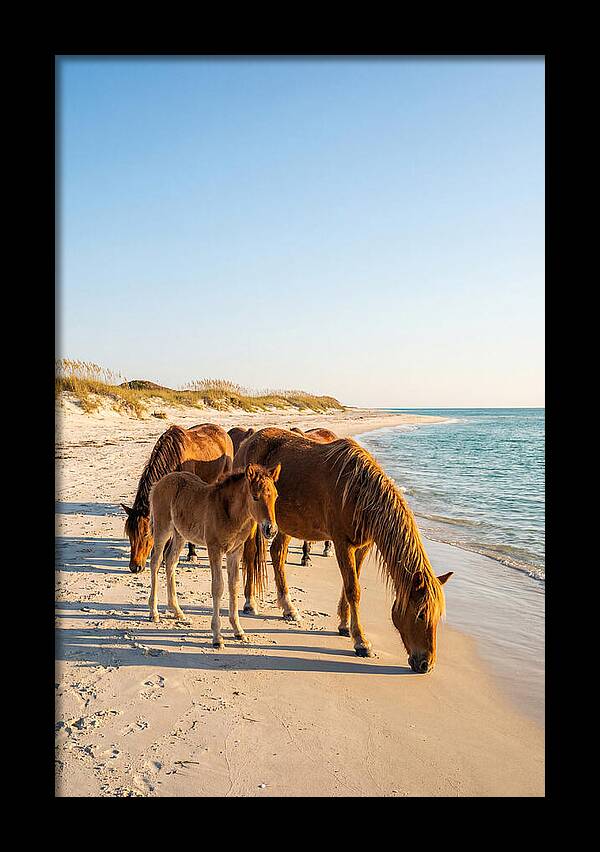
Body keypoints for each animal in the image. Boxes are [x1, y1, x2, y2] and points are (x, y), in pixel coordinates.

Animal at [121, 423, 234, 572]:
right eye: (129, 534)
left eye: (145, 534)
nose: (135, 567)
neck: (174, 458)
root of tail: (223, 432)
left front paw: (192, 554)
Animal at [148, 462, 280, 646]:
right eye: (255, 497)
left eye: (275, 496)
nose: (271, 530)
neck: (230, 513)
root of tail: (159, 482)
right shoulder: (214, 549)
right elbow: (218, 587)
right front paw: (217, 636)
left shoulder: (235, 551)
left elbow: (234, 585)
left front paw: (238, 630)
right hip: (162, 528)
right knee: (155, 561)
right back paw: (154, 613)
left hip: (180, 534)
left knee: (170, 561)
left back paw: (177, 611)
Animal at [235, 428, 452, 672]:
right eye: (421, 614)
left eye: (437, 615)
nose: (426, 664)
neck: (359, 492)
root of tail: (249, 440)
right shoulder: (342, 543)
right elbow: (353, 590)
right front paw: (361, 642)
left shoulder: (363, 546)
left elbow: (349, 584)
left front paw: (344, 625)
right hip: (254, 520)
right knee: (250, 555)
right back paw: (250, 602)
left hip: (286, 523)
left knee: (277, 554)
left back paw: (288, 608)